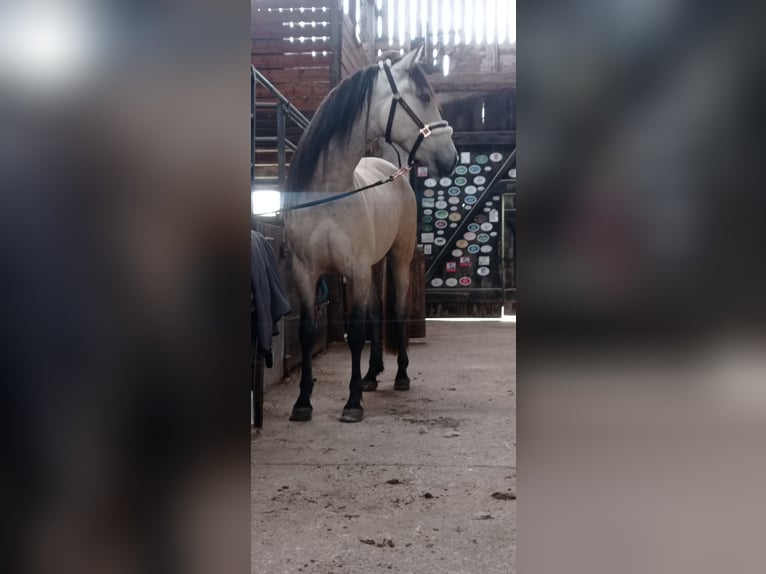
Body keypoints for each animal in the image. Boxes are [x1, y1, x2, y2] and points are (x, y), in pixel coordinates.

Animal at [283, 47, 458, 423]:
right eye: (424, 97)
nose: (450, 159)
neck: (329, 198)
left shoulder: (356, 270)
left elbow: (356, 332)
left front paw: (352, 403)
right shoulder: (305, 272)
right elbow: (306, 332)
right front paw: (303, 401)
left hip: (397, 259)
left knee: (397, 308)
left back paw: (401, 375)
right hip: (375, 265)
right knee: (378, 310)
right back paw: (371, 375)